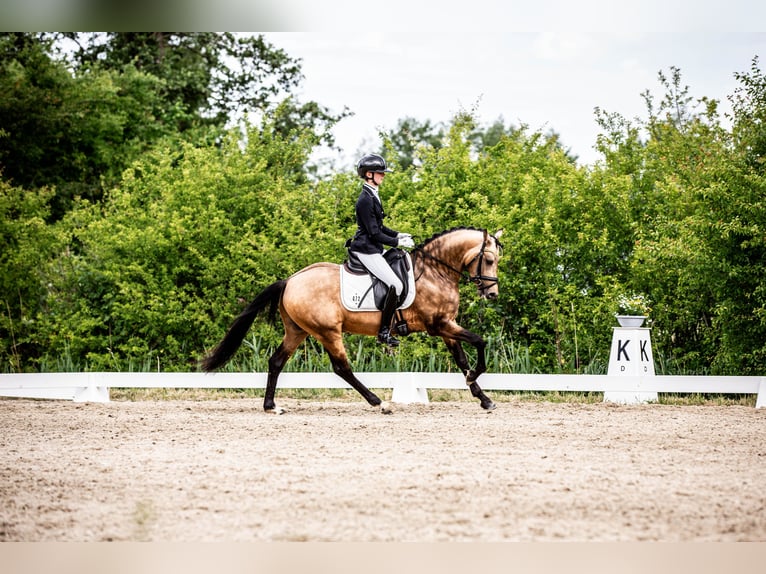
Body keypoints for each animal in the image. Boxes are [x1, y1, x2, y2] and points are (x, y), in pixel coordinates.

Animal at [201, 226, 504, 414]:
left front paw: (484, 399)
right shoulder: (439, 325)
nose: (492, 294)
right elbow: (480, 341)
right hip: (328, 331)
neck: (435, 271)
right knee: (342, 368)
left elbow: (462, 359)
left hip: (297, 331)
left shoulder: (446, 326)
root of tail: (289, 281)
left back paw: (271, 406)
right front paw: (476, 378)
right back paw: (379, 403)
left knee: (276, 361)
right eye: (488, 260)